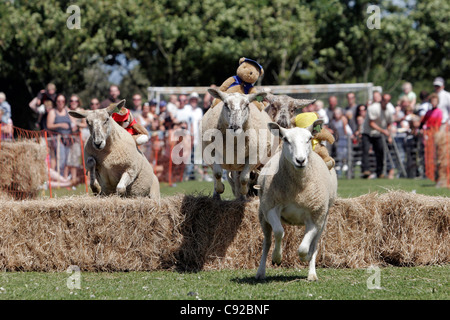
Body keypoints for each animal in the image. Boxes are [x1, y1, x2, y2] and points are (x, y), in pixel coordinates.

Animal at [255, 120, 336, 280]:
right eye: (286, 139)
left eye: (309, 138)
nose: (300, 160)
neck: (297, 190)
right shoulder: (271, 207)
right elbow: (279, 232)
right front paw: (277, 257)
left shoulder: (316, 216)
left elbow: (304, 248)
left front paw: (306, 257)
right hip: (263, 214)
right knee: (267, 242)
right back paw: (261, 271)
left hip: (324, 220)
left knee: (315, 244)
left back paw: (312, 273)